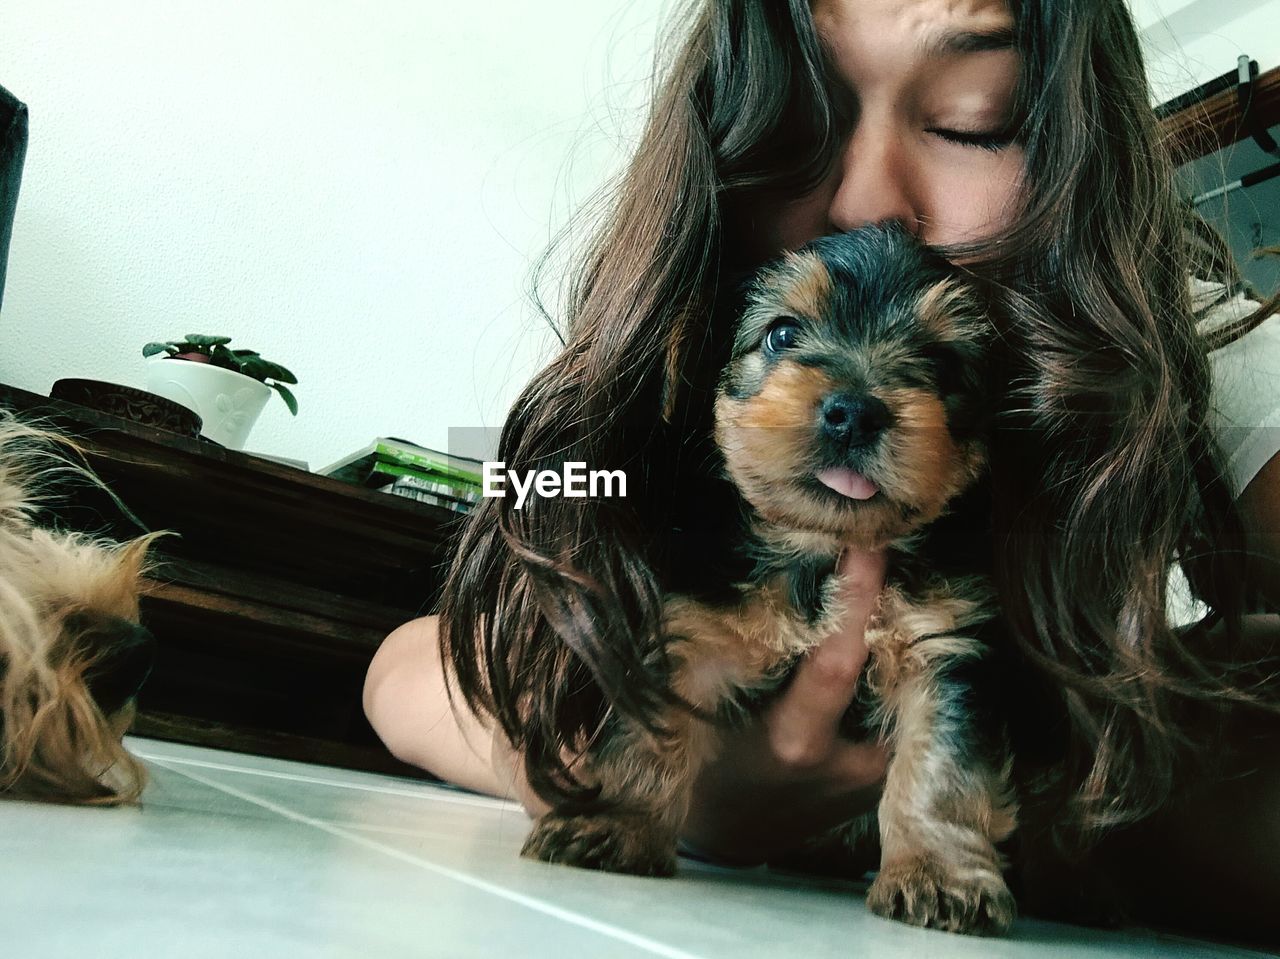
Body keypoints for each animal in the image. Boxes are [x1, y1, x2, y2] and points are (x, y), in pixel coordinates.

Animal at [522, 226, 1018, 937]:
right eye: (782, 334)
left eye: (943, 363)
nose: (855, 411)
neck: (823, 547)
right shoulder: (694, 635)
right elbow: (647, 732)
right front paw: (614, 821)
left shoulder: (944, 644)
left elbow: (942, 767)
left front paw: (939, 872)